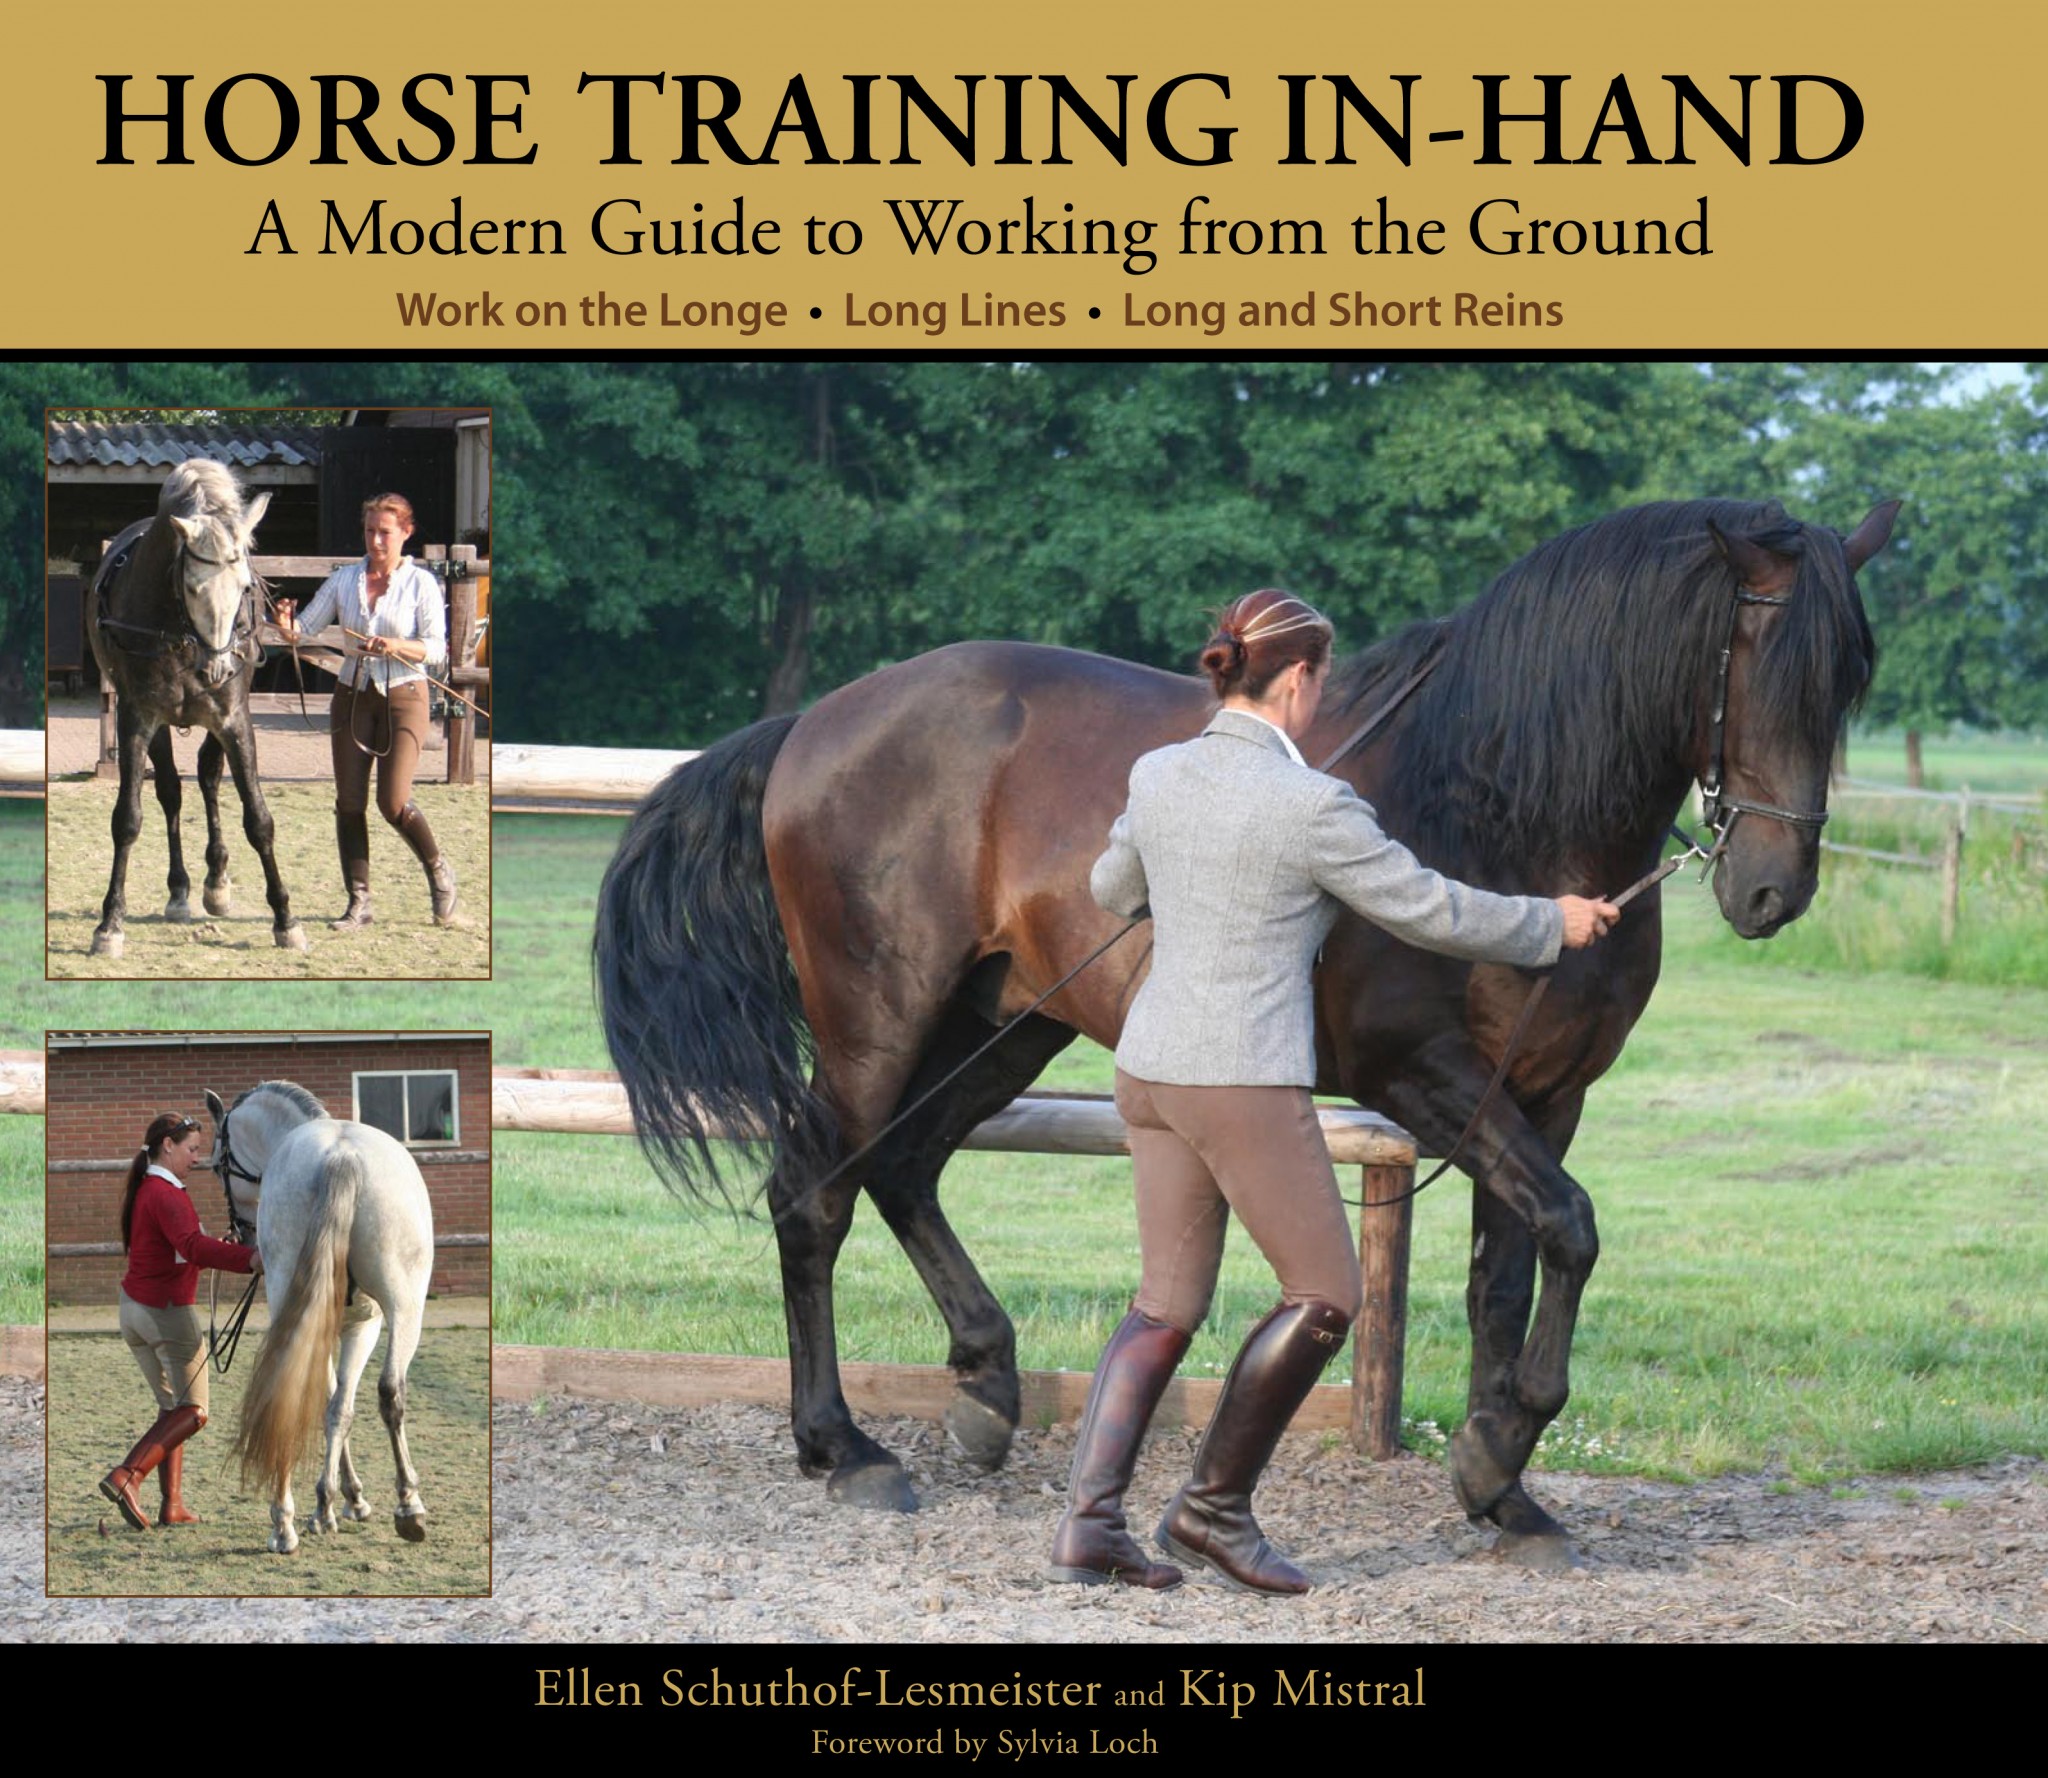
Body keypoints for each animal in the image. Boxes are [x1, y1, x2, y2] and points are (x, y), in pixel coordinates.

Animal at [85, 460, 306, 959]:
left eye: (245, 586)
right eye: (191, 586)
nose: (219, 667)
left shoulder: (233, 720)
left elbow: (258, 819)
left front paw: (285, 919)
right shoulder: (137, 718)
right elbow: (127, 819)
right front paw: (110, 924)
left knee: (207, 776)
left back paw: (216, 881)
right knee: (171, 791)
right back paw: (180, 890)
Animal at [205, 1081, 434, 1555]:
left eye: (218, 1165)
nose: (242, 1235)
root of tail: (340, 1157)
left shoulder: (350, 1325)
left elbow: (334, 1405)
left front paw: (335, 1501)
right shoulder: (363, 1325)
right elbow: (341, 1407)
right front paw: (343, 1500)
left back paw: (283, 1524)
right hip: (404, 1310)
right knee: (390, 1392)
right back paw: (408, 1505)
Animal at [595, 497, 1897, 1564]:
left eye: (1847, 679)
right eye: (1752, 661)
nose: (1771, 889)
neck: (1497, 806)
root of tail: (817, 720)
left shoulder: (1540, 1094)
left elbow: (1513, 1269)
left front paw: (1502, 1489)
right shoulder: (1420, 1075)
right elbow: (1568, 1227)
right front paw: (1494, 1451)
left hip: (1004, 1018)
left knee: (906, 1165)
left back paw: (985, 1384)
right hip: (879, 1016)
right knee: (814, 1193)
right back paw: (843, 1447)